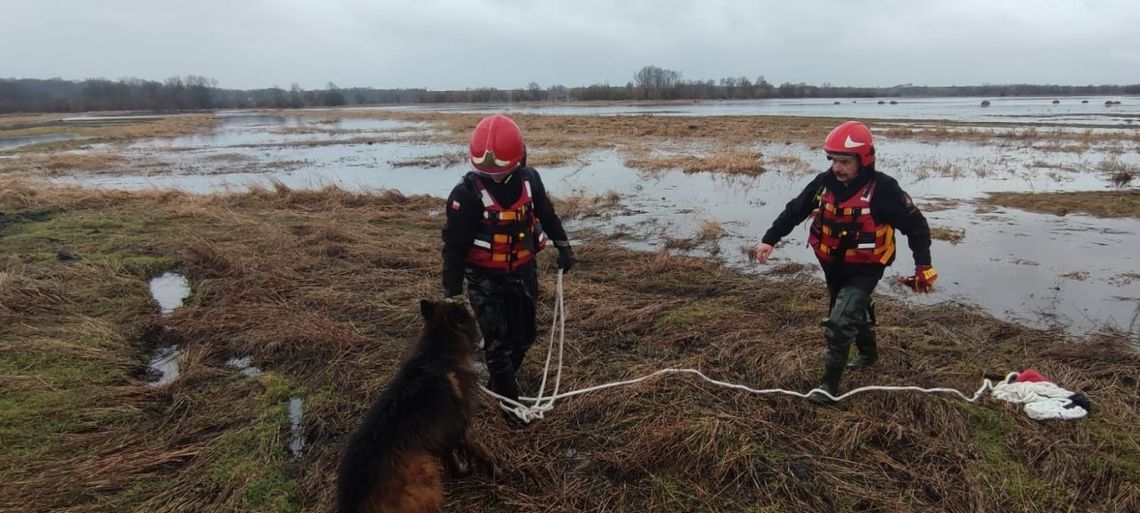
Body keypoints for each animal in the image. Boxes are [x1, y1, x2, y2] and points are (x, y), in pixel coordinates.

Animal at [335, 298, 492, 510]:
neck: (437, 352)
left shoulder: (443, 437)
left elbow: (451, 464)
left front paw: (464, 472)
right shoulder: (462, 425)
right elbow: (475, 448)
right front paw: (490, 468)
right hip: (426, 478)